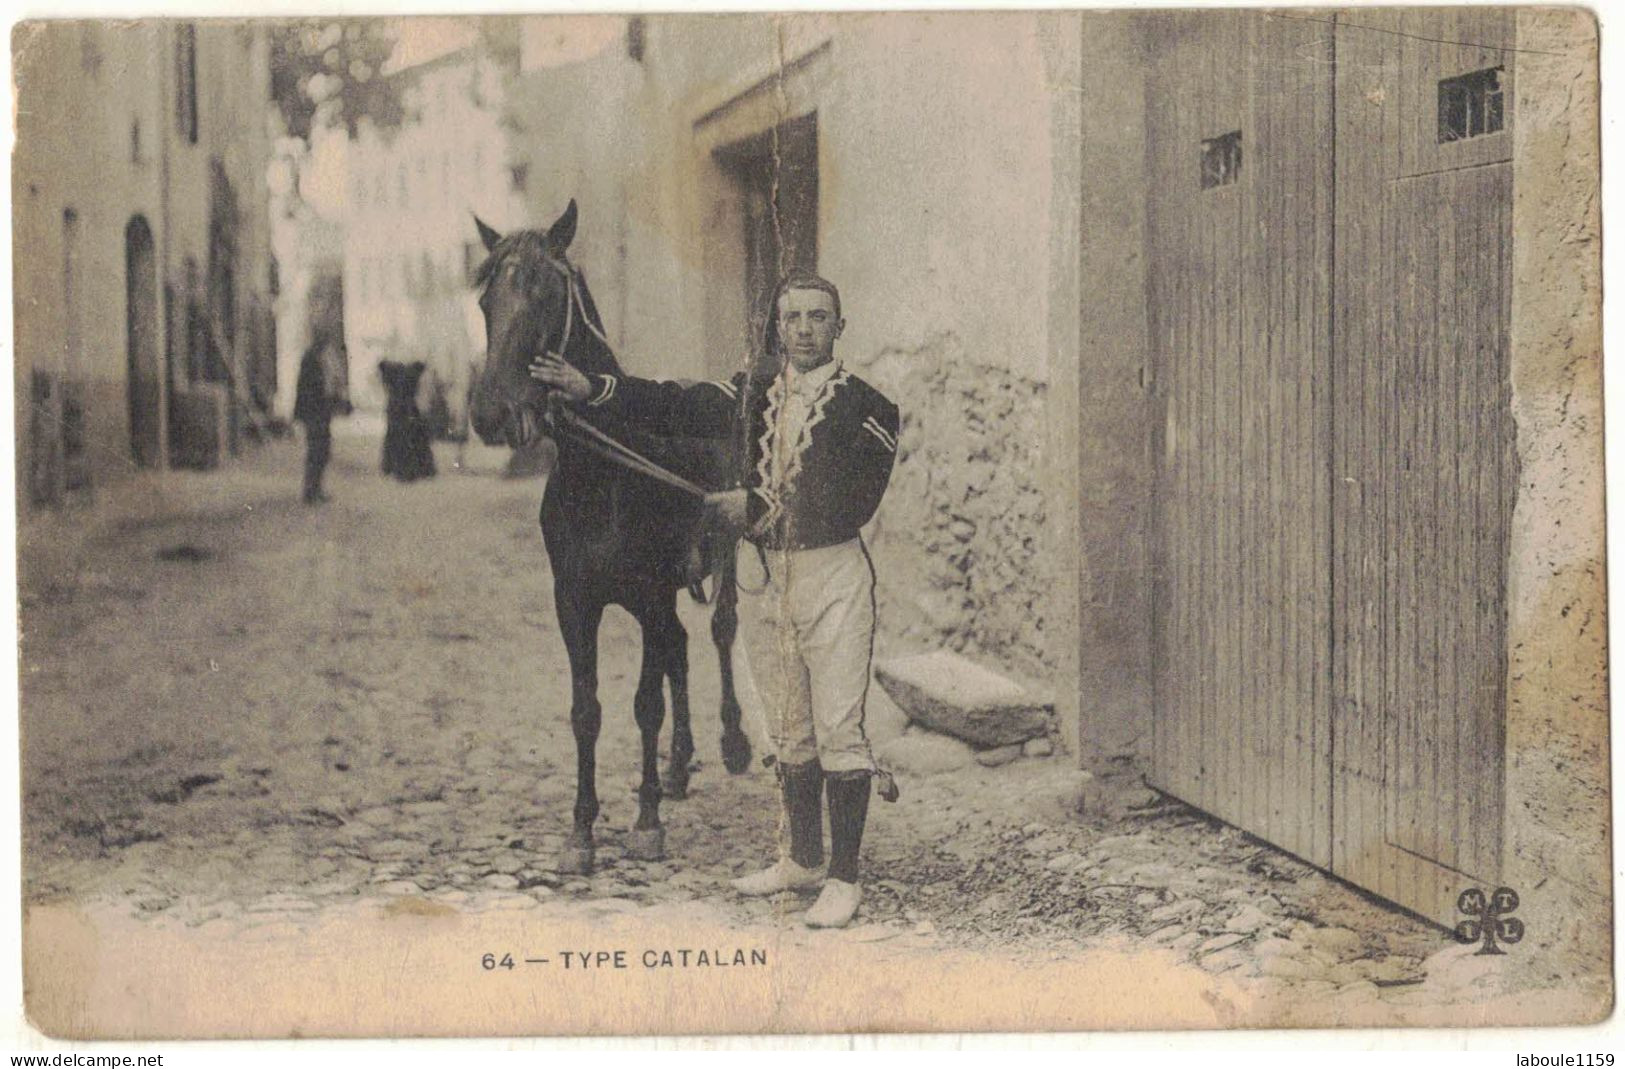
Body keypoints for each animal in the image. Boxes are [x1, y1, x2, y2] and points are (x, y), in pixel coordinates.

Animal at [468, 202, 750, 877]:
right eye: (486, 299)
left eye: (546, 295)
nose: (490, 413)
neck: (605, 468)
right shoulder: (574, 600)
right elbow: (586, 711)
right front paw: (582, 829)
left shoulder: (648, 595)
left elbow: (644, 704)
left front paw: (646, 823)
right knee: (679, 647)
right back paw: (677, 767)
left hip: (725, 551)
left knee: (720, 628)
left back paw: (732, 742)